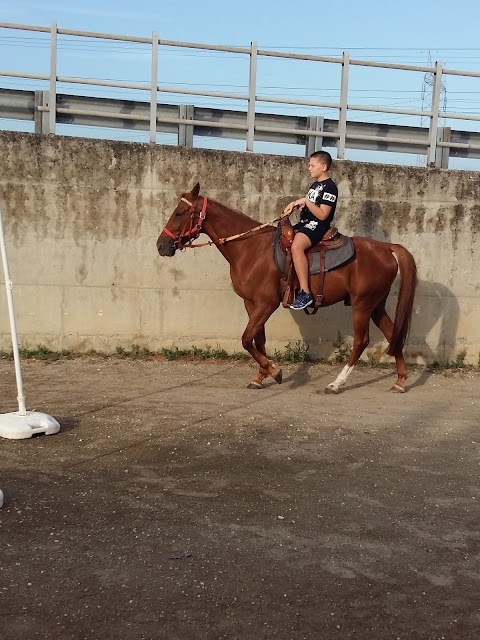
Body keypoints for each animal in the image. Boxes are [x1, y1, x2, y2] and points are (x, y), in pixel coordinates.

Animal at [157, 182, 416, 392]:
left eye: (180, 213)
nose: (161, 245)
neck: (251, 248)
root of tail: (386, 248)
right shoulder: (252, 304)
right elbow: (258, 340)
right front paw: (260, 376)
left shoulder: (266, 303)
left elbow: (246, 339)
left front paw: (274, 370)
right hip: (375, 306)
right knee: (392, 334)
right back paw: (400, 380)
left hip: (362, 305)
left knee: (361, 341)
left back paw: (336, 383)